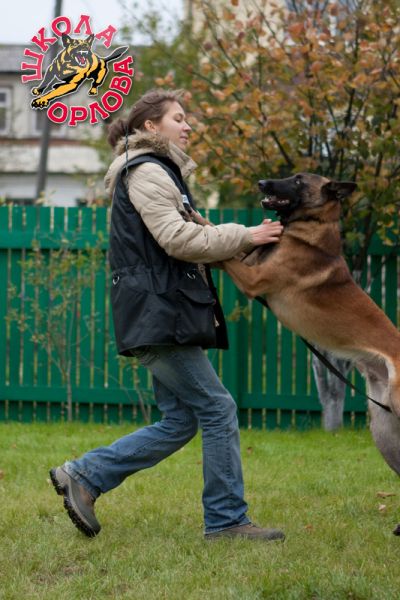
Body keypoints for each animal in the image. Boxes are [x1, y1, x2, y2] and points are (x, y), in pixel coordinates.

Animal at [223, 173, 400, 527]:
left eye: (297, 180)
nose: (262, 182)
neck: (310, 226)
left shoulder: (253, 278)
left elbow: (219, 251)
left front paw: (189, 214)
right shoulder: (252, 262)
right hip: (384, 429)